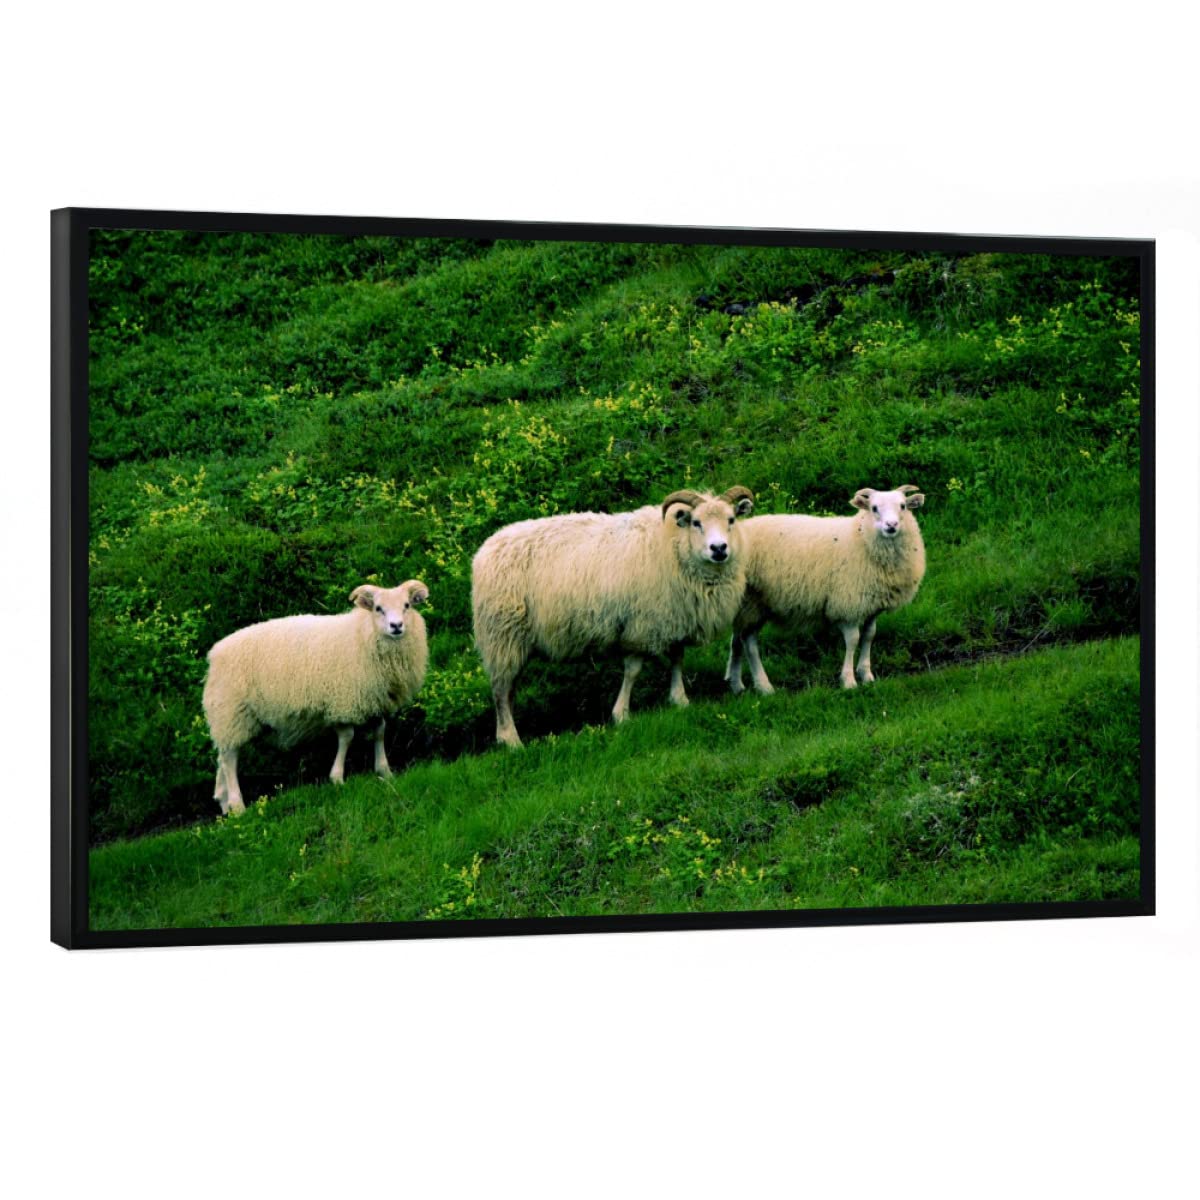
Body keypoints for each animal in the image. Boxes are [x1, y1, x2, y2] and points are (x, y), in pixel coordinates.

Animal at [201, 580, 430, 815]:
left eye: (407, 605)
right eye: (378, 608)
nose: (396, 626)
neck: (362, 634)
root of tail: (214, 655)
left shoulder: (375, 700)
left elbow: (379, 733)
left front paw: (385, 771)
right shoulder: (342, 701)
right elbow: (347, 737)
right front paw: (337, 778)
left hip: (230, 717)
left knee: (223, 755)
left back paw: (224, 802)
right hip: (232, 712)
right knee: (230, 759)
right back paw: (237, 805)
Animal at [472, 486, 755, 748]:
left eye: (731, 520)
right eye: (697, 523)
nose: (719, 549)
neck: (674, 544)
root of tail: (484, 551)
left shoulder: (674, 616)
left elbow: (677, 658)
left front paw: (679, 699)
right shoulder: (640, 625)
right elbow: (633, 671)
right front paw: (621, 715)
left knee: (508, 689)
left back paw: (505, 734)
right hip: (502, 635)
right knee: (500, 689)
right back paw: (511, 741)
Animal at [726, 485, 925, 695]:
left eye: (903, 506)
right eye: (874, 508)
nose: (891, 525)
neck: (861, 537)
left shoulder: (871, 605)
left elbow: (869, 636)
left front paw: (866, 674)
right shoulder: (848, 603)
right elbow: (853, 639)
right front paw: (849, 680)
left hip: (744, 605)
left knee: (737, 640)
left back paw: (736, 684)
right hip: (752, 603)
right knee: (749, 643)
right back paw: (764, 686)